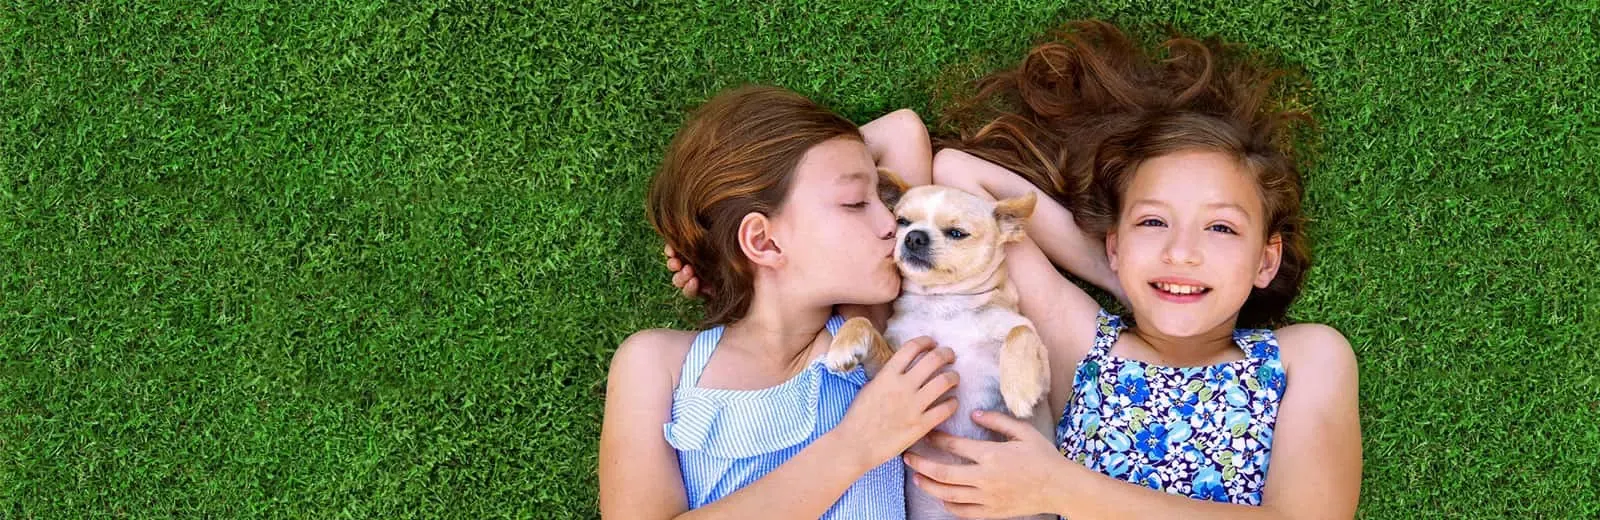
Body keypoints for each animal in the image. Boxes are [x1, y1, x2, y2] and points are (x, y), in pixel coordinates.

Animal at [825, 170, 1062, 518]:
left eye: (957, 233)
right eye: (902, 221)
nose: (914, 237)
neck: (944, 305)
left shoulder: (1042, 372)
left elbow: (1020, 331)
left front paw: (1020, 389)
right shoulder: (898, 364)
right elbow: (862, 322)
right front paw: (844, 344)